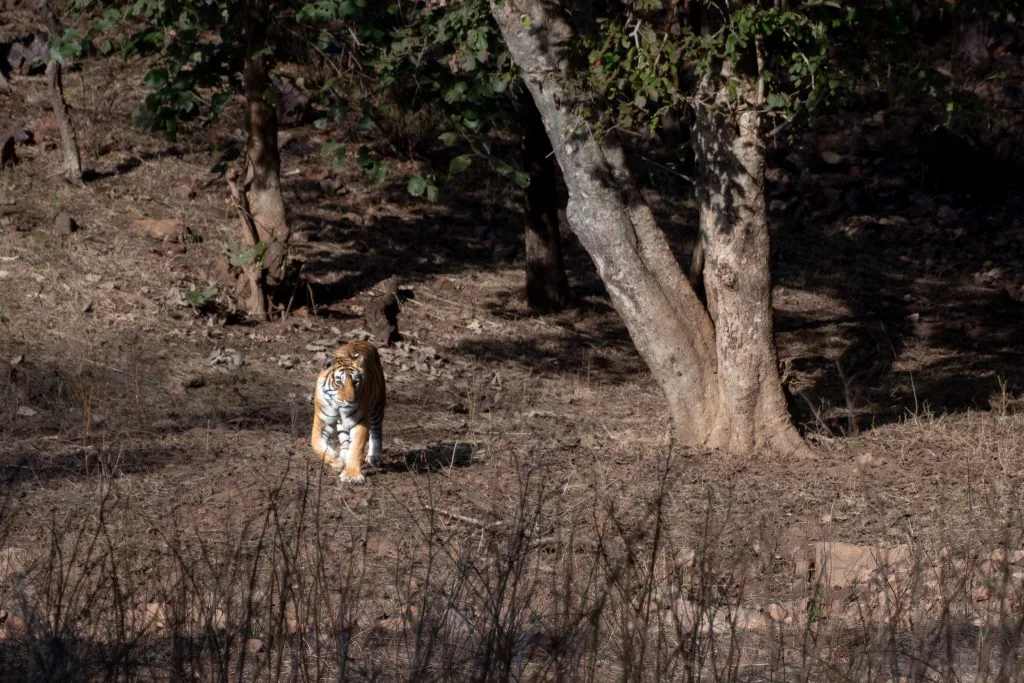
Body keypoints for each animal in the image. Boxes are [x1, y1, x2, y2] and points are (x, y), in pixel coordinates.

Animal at [310, 340, 386, 484]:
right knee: (345, 440)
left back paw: (374, 456)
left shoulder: (360, 421)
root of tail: (364, 341)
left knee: (376, 431)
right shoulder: (322, 421)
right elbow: (316, 444)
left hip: (377, 407)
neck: (338, 407)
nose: (350, 401)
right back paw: (343, 456)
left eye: (356, 382)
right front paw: (337, 461)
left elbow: (356, 448)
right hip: (343, 424)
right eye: (339, 382)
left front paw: (352, 475)